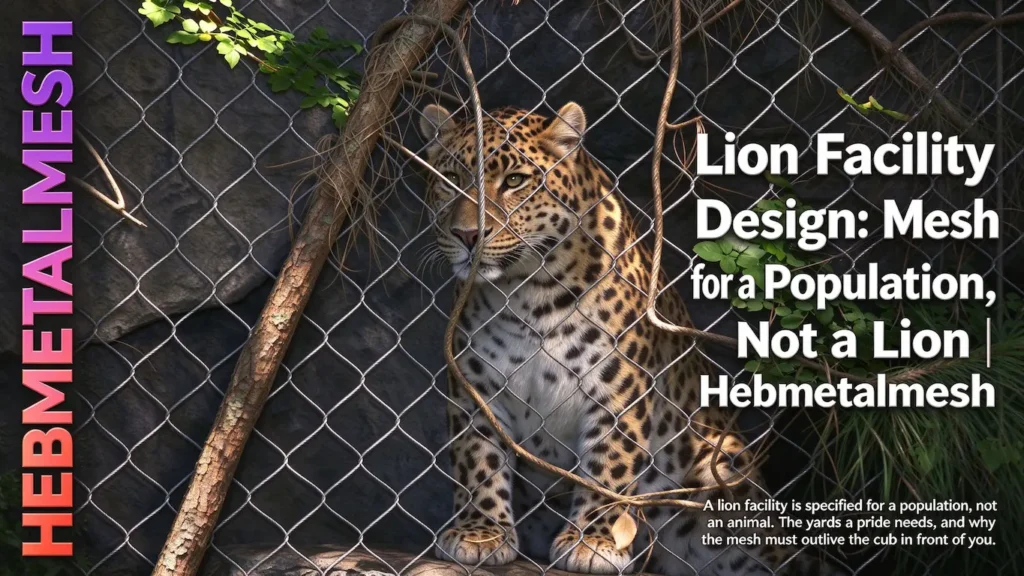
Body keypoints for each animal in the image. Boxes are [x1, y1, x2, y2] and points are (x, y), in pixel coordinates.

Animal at [417, 101, 840, 576]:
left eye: (514, 181)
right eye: (450, 180)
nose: (468, 235)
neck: (527, 296)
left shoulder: (617, 387)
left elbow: (609, 463)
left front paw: (593, 541)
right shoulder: (475, 386)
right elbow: (479, 461)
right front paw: (479, 533)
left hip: (722, 469)